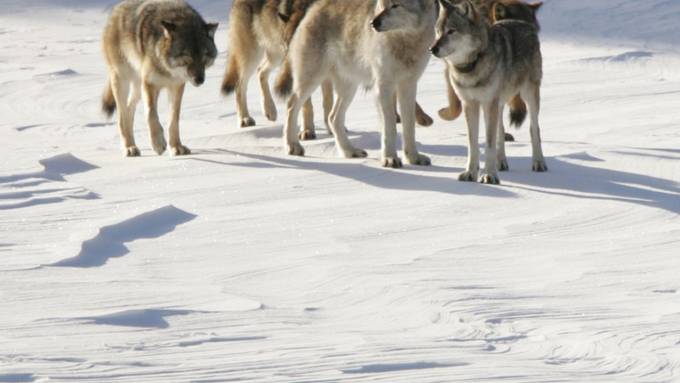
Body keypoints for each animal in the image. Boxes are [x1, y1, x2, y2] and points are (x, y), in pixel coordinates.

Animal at [101, 0, 216, 157]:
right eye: (187, 57)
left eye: (204, 57)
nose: (200, 80)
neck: (167, 69)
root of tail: (116, 10)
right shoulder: (150, 83)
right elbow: (151, 113)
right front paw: (158, 144)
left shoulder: (176, 86)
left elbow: (173, 119)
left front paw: (176, 147)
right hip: (123, 81)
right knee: (121, 116)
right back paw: (129, 147)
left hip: (138, 88)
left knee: (129, 109)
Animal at [274, 0, 438, 169]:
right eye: (381, 4)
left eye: (395, 6)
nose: (373, 23)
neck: (405, 41)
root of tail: (315, 7)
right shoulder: (383, 87)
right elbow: (390, 127)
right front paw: (390, 159)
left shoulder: (409, 85)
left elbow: (409, 127)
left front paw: (413, 158)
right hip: (312, 79)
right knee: (291, 105)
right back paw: (293, 146)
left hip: (349, 88)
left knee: (333, 117)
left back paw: (349, 151)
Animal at [430, 0, 548, 184]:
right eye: (438, 31)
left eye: (451, 31)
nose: (432, 49)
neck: (472, 66)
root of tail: (522, 22)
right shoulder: (470, 104)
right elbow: (473, 144)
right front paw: (470, 173)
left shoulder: (488, 103)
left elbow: (489, 143)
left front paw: (489, 175)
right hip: (498, 104)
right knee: (500, 130)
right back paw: (501, 163)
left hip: (528, 96)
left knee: (534, 128)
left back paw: (538, 163)